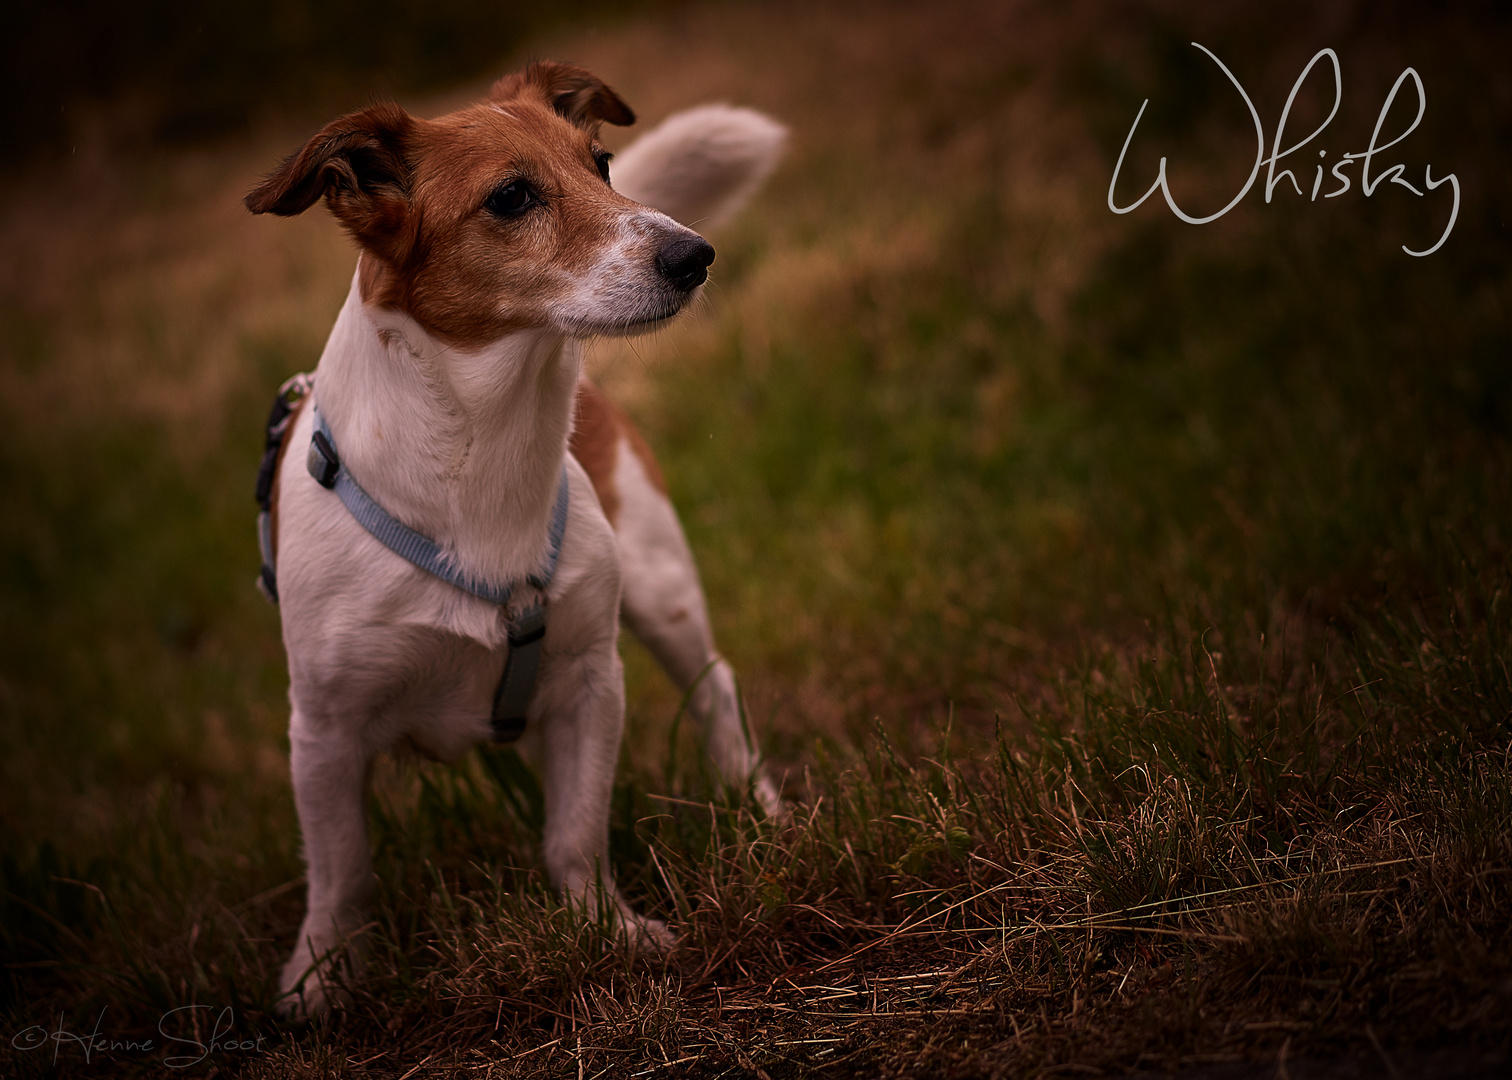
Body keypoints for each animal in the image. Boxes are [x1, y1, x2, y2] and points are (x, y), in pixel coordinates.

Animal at [241, 63, 786, 1016]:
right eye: (511, 197)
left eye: (602, 164)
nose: (695, 255)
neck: (481, 456)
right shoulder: (325, 730)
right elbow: (341, 874)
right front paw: (322, 976)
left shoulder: (589, 684)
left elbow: (575, 835)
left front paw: (609, 932)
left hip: (662, 587)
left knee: (716, 691)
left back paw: (765, 811)